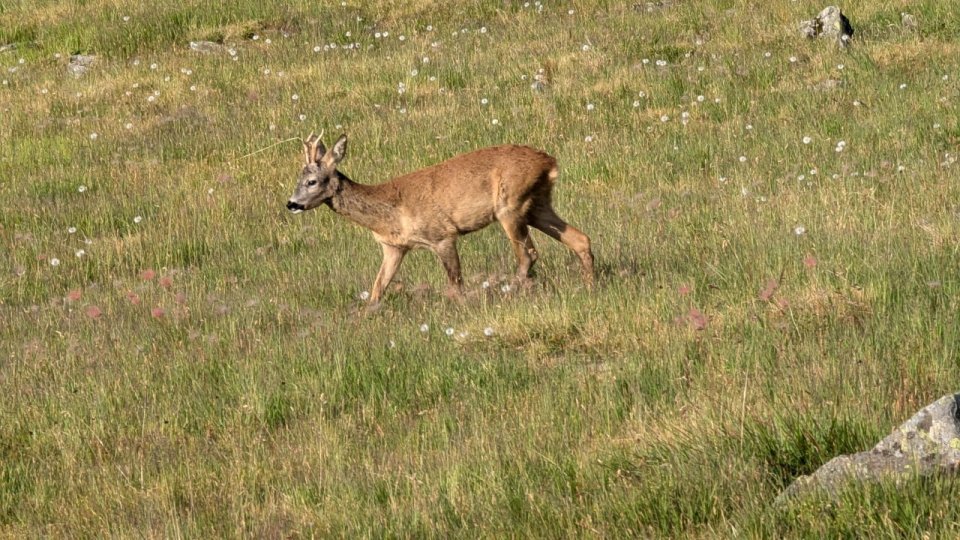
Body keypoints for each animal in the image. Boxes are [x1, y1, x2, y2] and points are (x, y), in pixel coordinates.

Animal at [286, 133, 594, 304]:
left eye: (312, 181)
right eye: (298, 179)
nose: (291, 203)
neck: (389, 214)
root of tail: (549, 162)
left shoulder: (442, 235)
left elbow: (455, 282)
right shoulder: (393, 247)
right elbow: (377, 288)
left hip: (511, 206)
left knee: (528, 254)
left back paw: (514, 291)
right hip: (537, 205)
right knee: (580, 239)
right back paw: (590, 285)